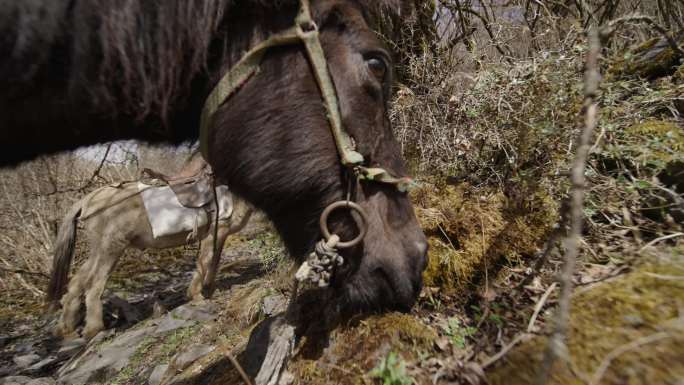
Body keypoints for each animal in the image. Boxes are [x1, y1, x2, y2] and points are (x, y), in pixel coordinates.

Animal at [1, 0, 428, 312]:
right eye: (376, 64)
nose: (419, 255)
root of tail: (88, 200)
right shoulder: (215, 231)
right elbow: (209, 262)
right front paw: (200, 295)